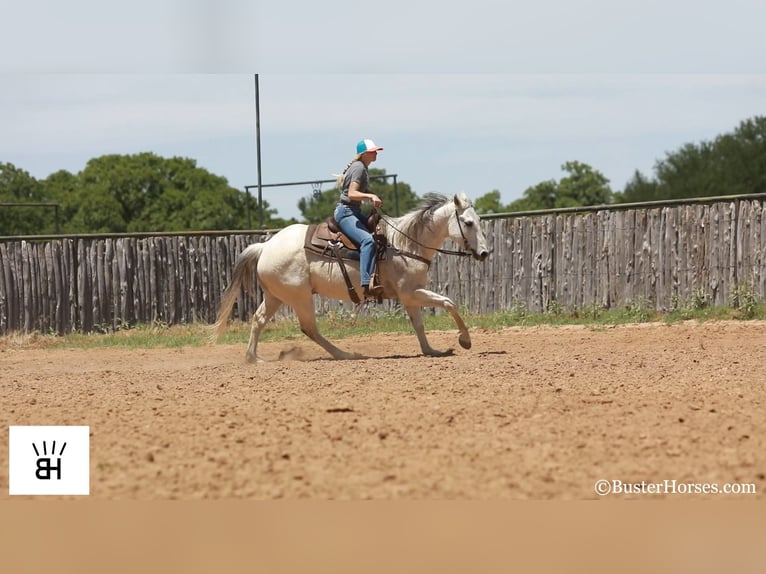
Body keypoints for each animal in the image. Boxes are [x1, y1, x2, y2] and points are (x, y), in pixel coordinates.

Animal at [212, 194, 492, 364]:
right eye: (467, 222)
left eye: (479, 220)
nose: (484, 253)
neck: (404, 244)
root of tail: (265, 246)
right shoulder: (410, 292)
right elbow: (448, 302)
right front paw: (465, 341)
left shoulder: (410, 295)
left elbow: (419, 325)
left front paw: (431, 351)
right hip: (299, 297)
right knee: (309, 328)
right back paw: (345, 354)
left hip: (276, 296)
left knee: (259, 320)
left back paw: (253, 358)